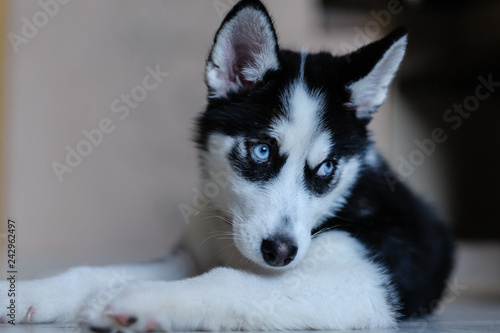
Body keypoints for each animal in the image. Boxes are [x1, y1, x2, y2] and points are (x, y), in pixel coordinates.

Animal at [0, 1, 454, 330]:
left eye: (326, 168)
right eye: (262, 151)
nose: (280, 252)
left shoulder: (364, 283)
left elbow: (229, 282)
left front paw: (138, 299)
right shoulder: (192, 254)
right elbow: (97, 271)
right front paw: (28, 294)